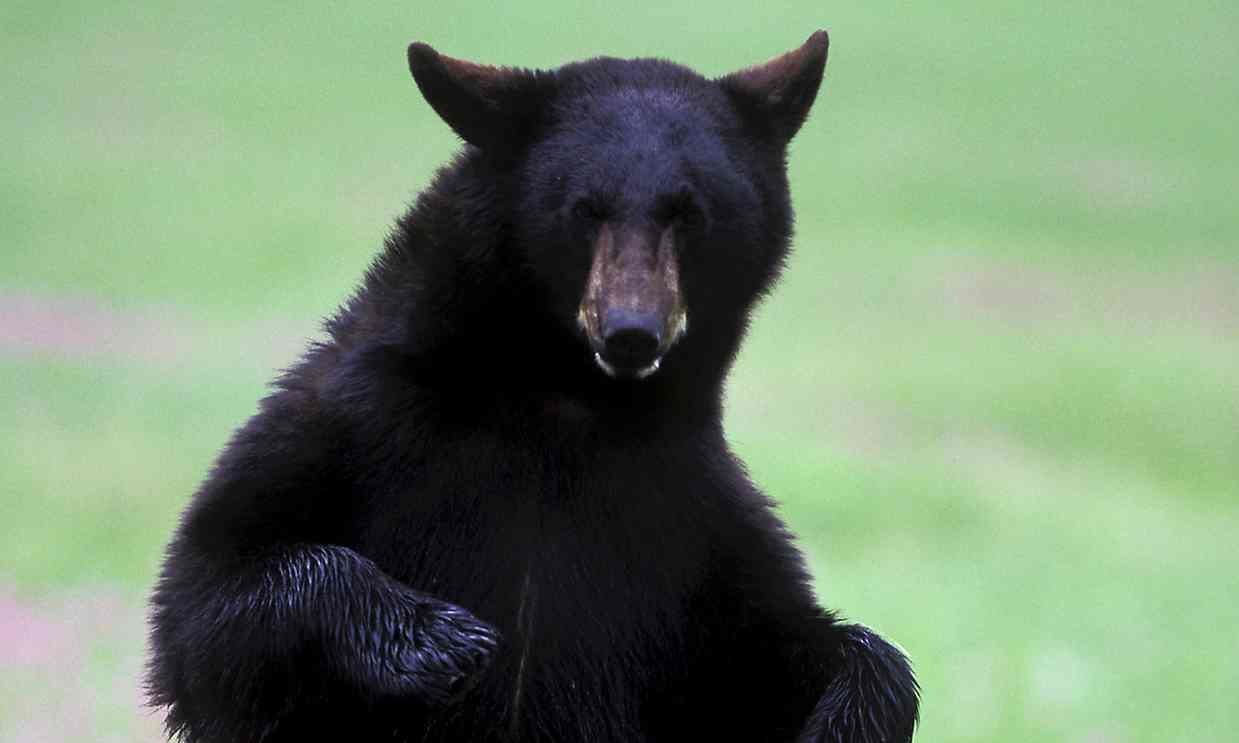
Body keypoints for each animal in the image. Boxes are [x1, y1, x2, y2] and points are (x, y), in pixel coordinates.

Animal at [147, 31, 919, 743]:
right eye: (584, 208)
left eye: (689, 211)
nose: (631, 331)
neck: (563, 402)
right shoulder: (357, 421)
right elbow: (204, 605)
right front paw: (439, 638)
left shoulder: (691, 511)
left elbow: (782, 645)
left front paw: (850, 714)